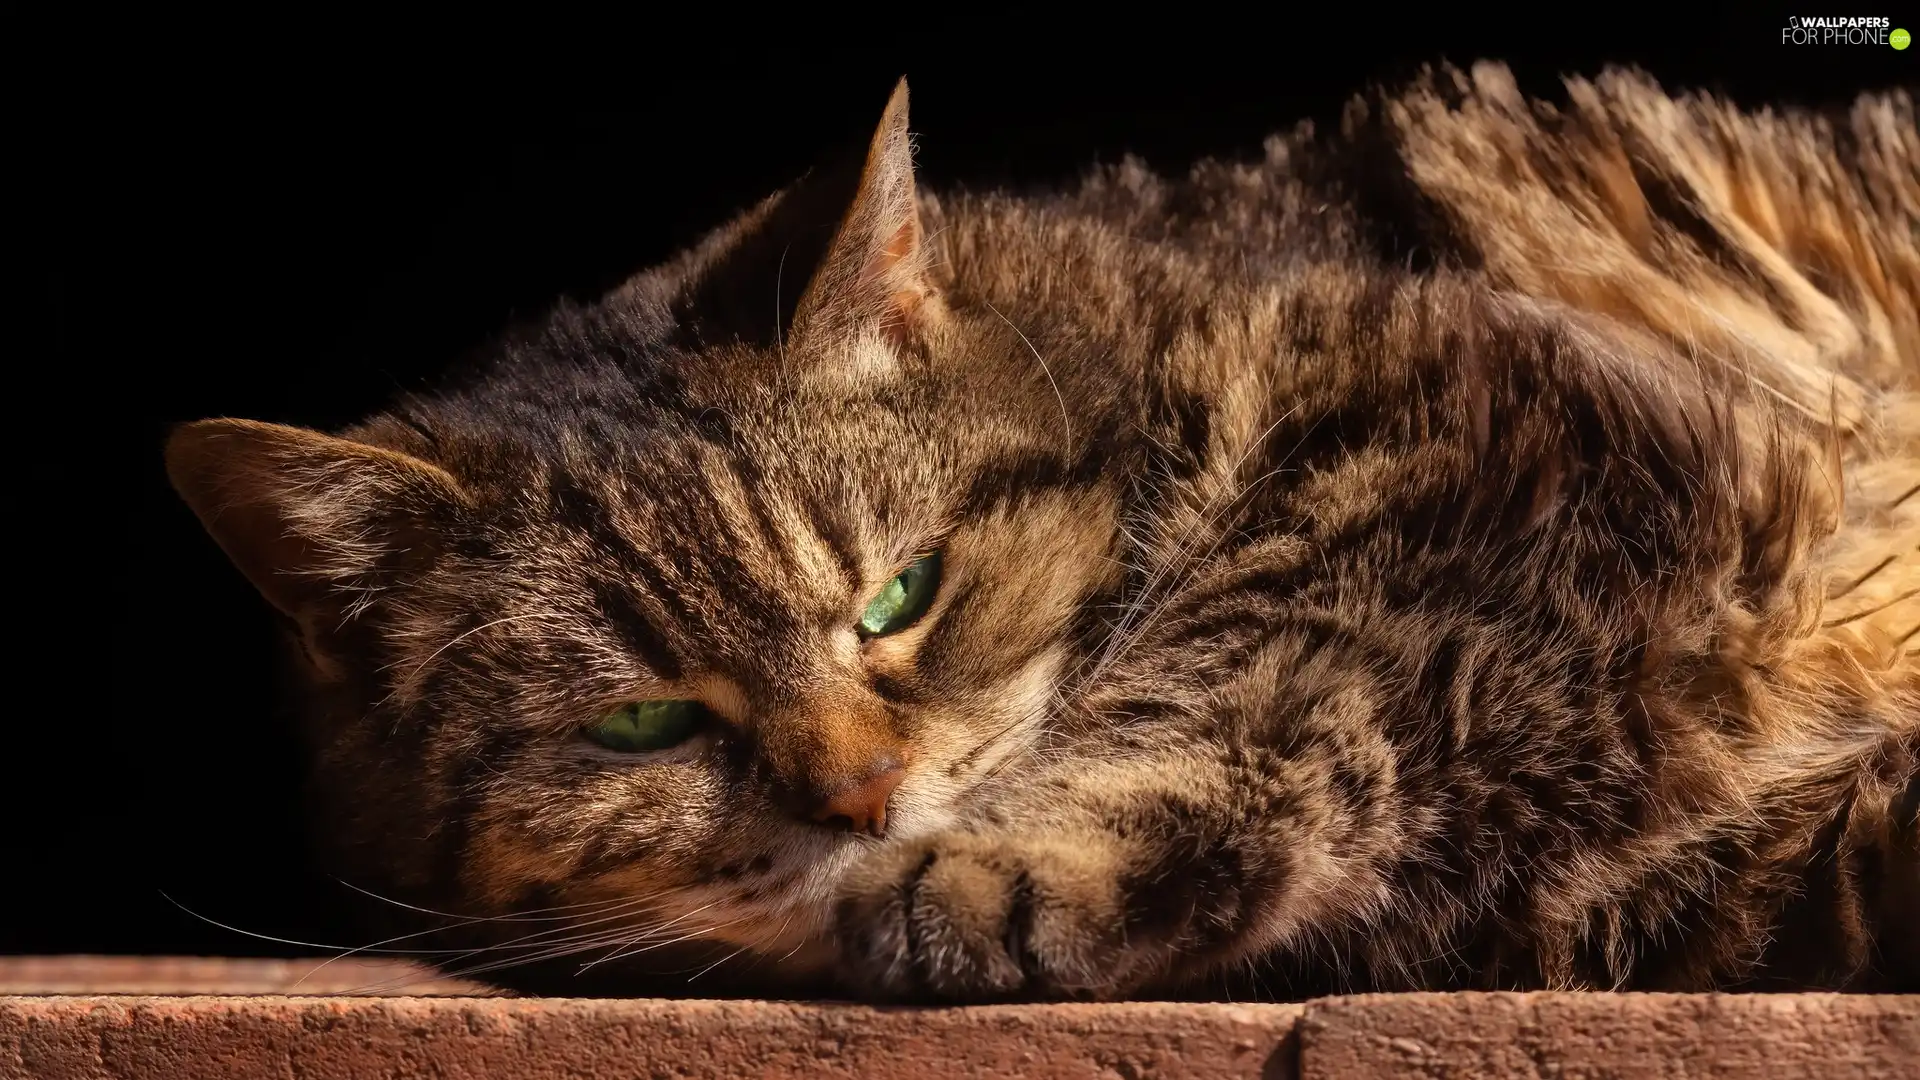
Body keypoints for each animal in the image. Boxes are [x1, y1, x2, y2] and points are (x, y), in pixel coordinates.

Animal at [168, 62, 1920, 999]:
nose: (864, 801)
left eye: (903, 596)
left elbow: (1259, 669)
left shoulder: (1482, 449)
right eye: (644, 725)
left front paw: (991, 868)